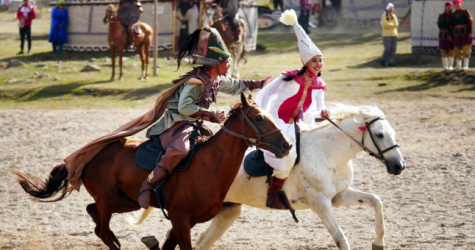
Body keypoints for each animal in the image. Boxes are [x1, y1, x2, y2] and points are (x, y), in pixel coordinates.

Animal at [13, 93, 292, 250]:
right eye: (258, 118)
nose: (286, 145)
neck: (209, 166)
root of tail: (90, 155)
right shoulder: (180, 218)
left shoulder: (186, 222)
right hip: (107, 197)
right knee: (100, 229)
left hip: (127, 200)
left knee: (93, 213)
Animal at [134, 104, 406, 250]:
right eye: (379, 135)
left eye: (392, 132)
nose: (399, 166)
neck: (327, 153)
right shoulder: (321, 203)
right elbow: (341, 239)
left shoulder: (338, 197)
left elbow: (376, 201)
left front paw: (379, 242)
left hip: (226, 211)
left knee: (201, 241)